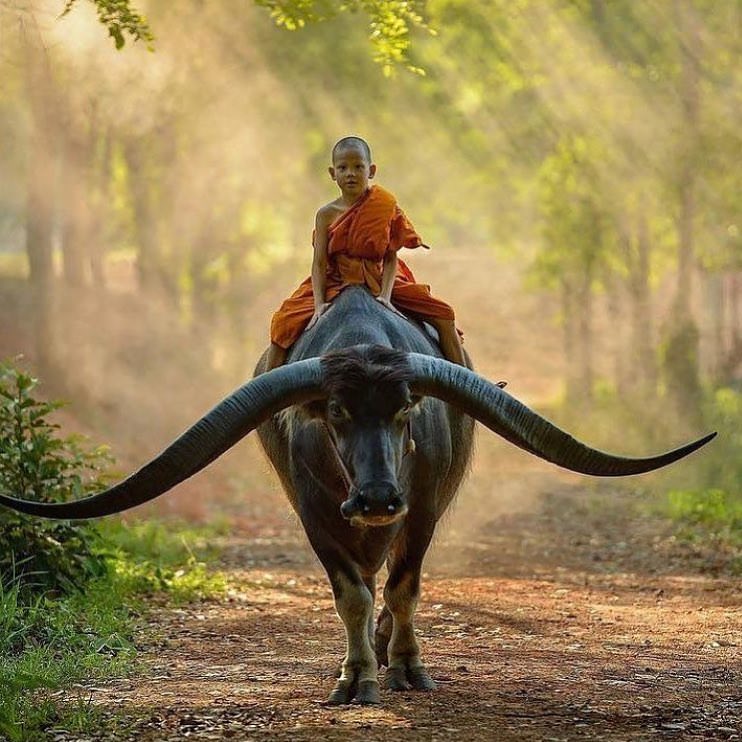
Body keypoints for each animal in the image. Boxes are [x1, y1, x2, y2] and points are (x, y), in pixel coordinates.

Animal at [0, 285, 715, 705]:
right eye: (338, 412)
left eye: (404, 411)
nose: (374, 499)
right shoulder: (316, 517)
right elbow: (351, 593)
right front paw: (357, 675)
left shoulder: (421, 511)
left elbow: (404, 588)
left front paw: (405, 668)